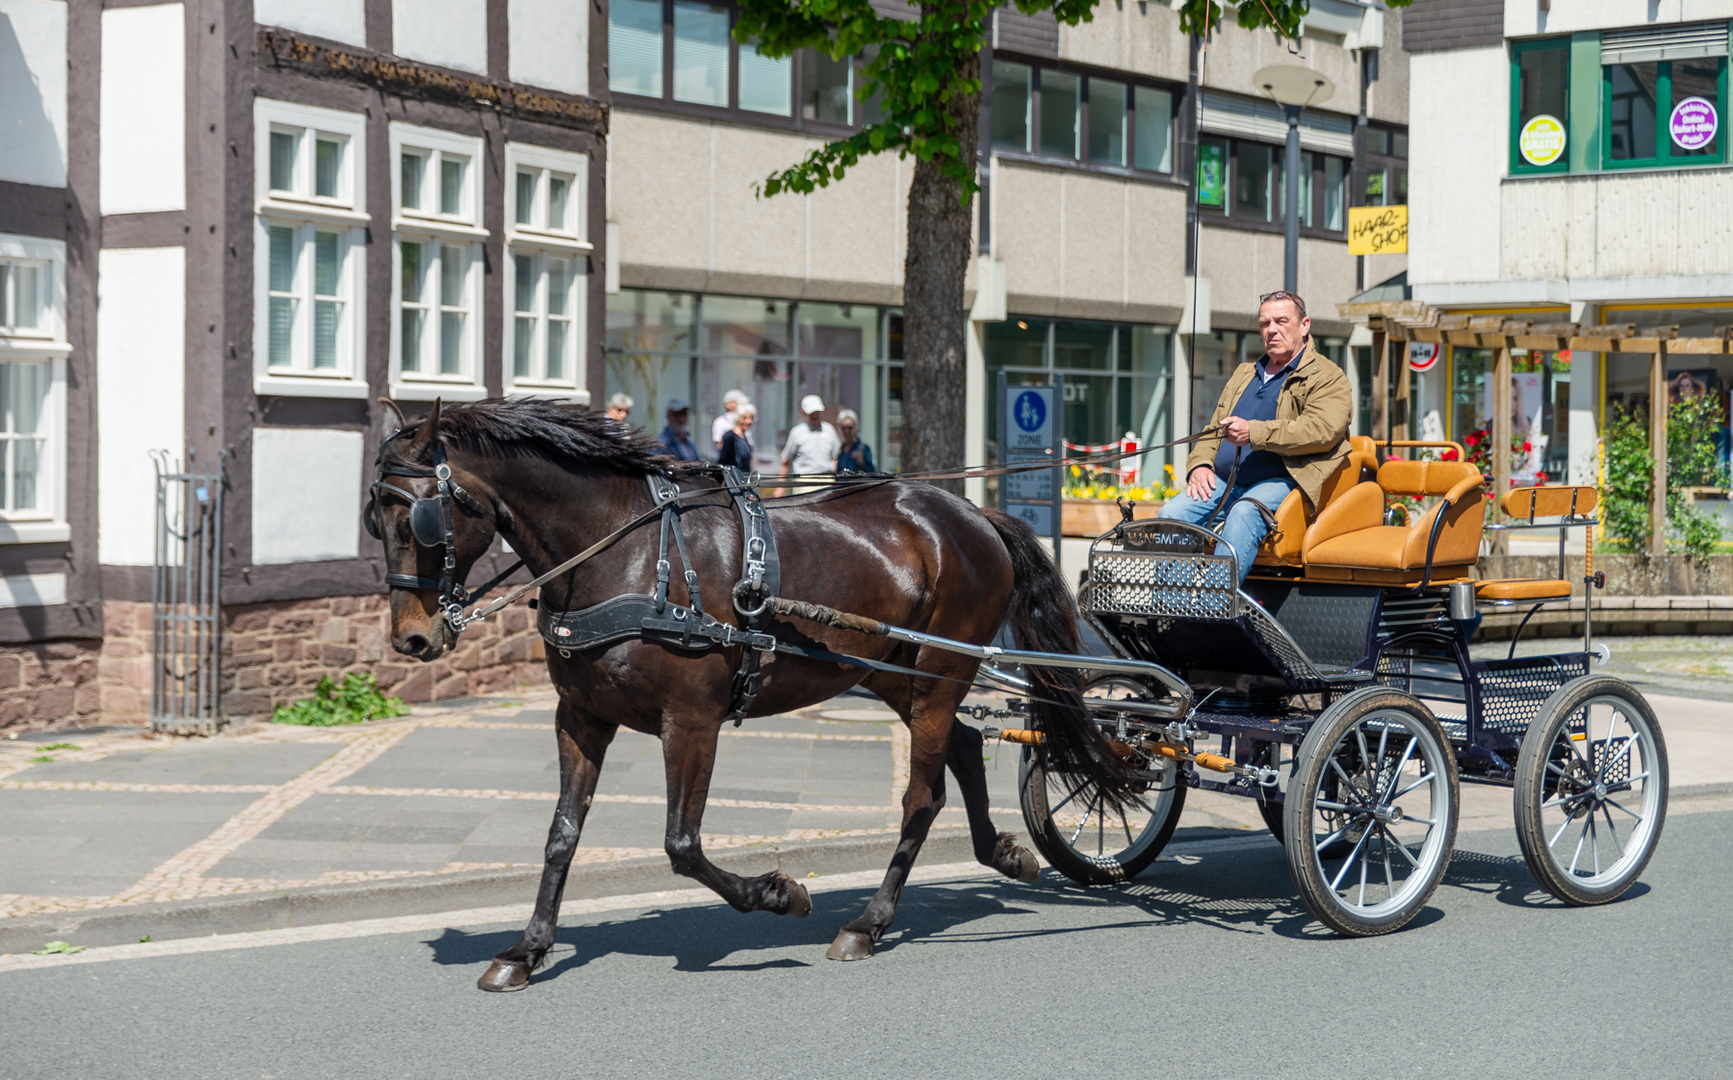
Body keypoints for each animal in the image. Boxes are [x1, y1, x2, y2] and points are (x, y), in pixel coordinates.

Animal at [369, 396, 1136, 991]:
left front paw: (777, 892)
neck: (628, 558)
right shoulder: (580, 717)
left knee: (923, 796)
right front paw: (526, 951)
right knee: (968, 744)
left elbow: (681, 844)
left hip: (937, 674)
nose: (412, 640)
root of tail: (970, 514)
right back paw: (1000, 853)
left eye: (420, 517)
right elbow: (561, 835)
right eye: (375, 518)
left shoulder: (691, 722)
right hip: (893, 674)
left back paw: (869, 922)